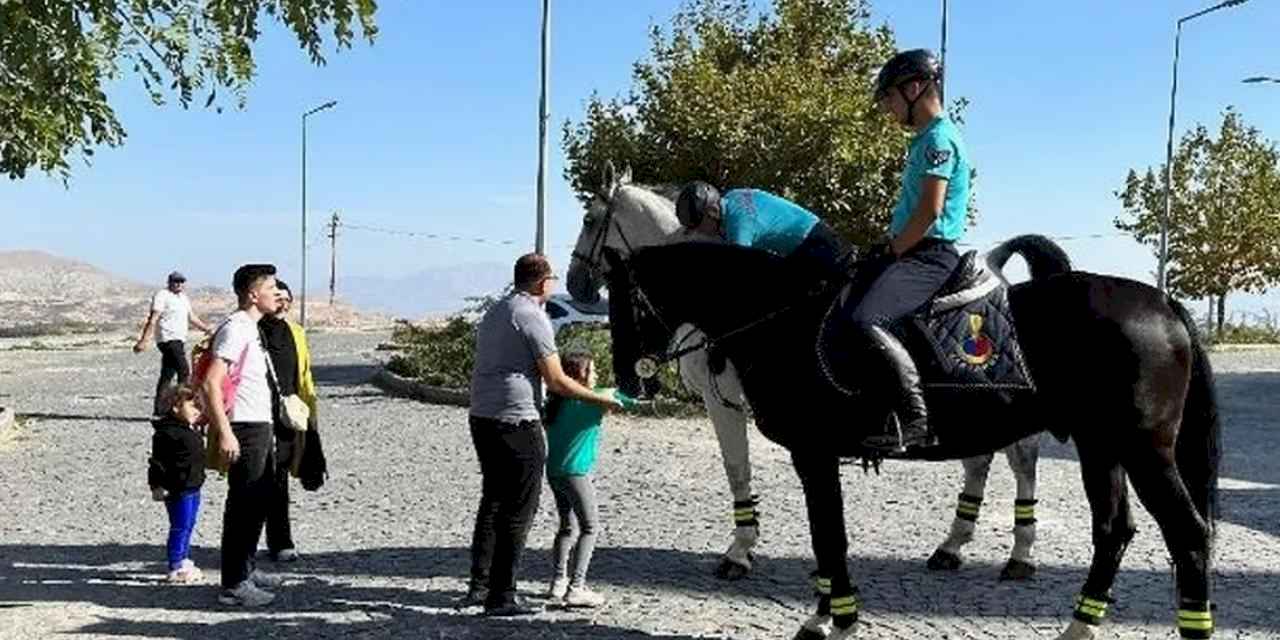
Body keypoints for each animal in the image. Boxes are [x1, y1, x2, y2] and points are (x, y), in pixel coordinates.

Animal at [568, 163, 1039, 581]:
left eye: (589, 220)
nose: (575, 284)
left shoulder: (724, 401)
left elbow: (736, 468)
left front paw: (740, 551)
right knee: (980, 460)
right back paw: (952, 546)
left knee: (1022, 462)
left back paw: (1019, 554)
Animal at [614, 236, 1223, 640]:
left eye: (623, 300)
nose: (626, 378)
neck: (782, 323)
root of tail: (1162, 303)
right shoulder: (815, 456)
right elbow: (826, 536)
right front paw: (829, 613)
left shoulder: (813, 453)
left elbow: (828, 538)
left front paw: (834, 618)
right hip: (1102, 447)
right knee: (1113, 530)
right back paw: (1078, 626)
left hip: (1144, 450)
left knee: (1188, 533)